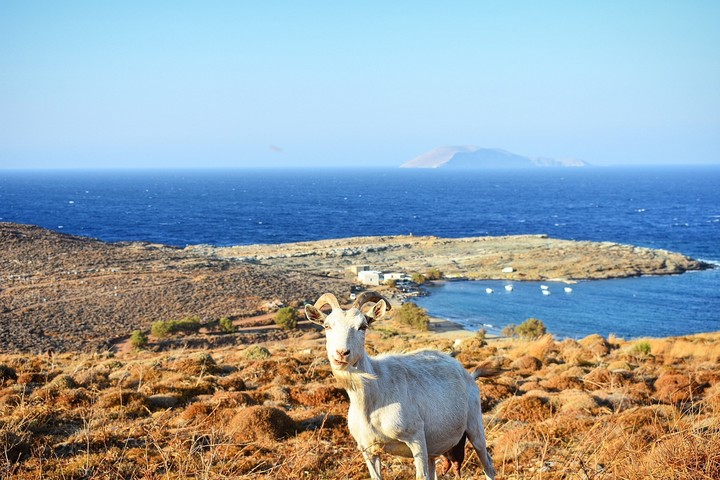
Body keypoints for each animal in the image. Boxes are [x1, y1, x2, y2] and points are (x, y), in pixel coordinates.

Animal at [305, 292, 495, 480]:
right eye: (327, 326)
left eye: (363, 326)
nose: (341, 353)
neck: (374, 397)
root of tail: (468, 375)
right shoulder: (367, 448)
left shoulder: (416, 438)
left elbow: (421, 476)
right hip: (433, 448)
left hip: (475, 426)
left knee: (488, 465)